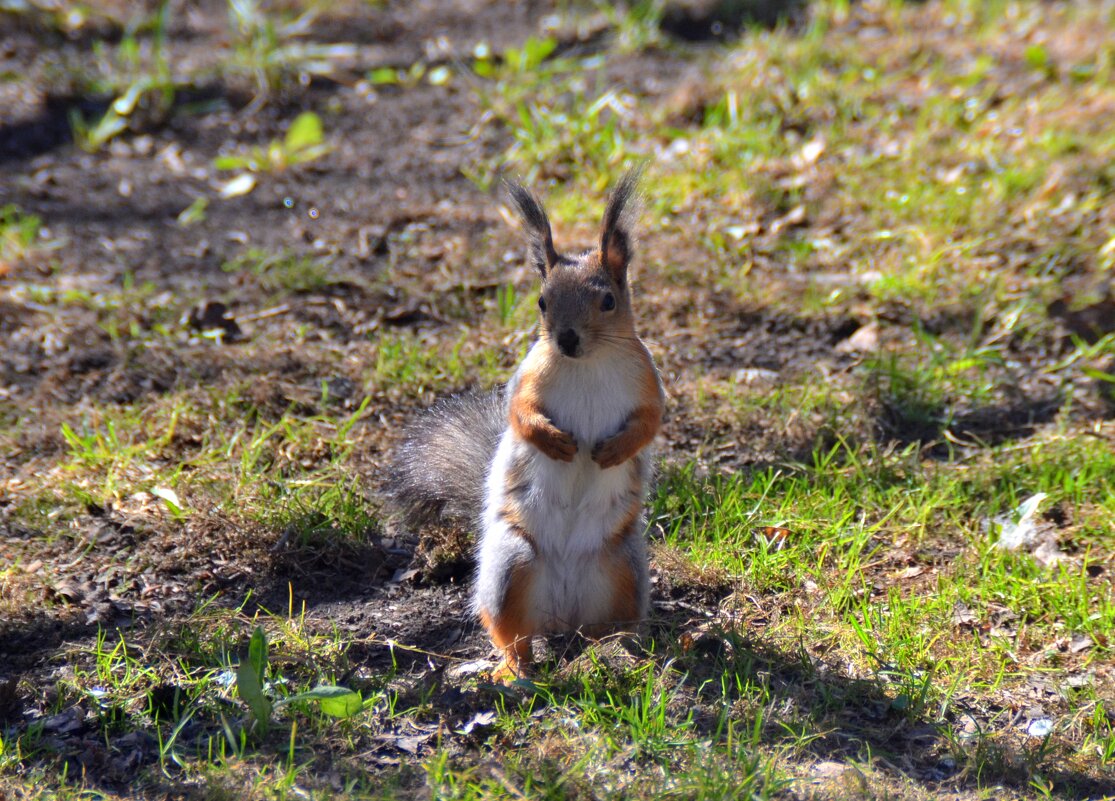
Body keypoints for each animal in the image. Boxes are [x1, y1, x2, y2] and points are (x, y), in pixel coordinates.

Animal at [392, 170, 664, 678]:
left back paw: (617, 653)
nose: (567, 338)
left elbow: (650, 423)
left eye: (609, 300)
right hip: (511, 568)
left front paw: (613, 451)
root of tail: (562, 615)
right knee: (512, 636)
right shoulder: (527, 379)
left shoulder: (649, 385)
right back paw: (515, 670)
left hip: (623, 569)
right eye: (541, 301)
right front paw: (555, 443)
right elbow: (519, 414)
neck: (587, 364)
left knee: (608, 628)